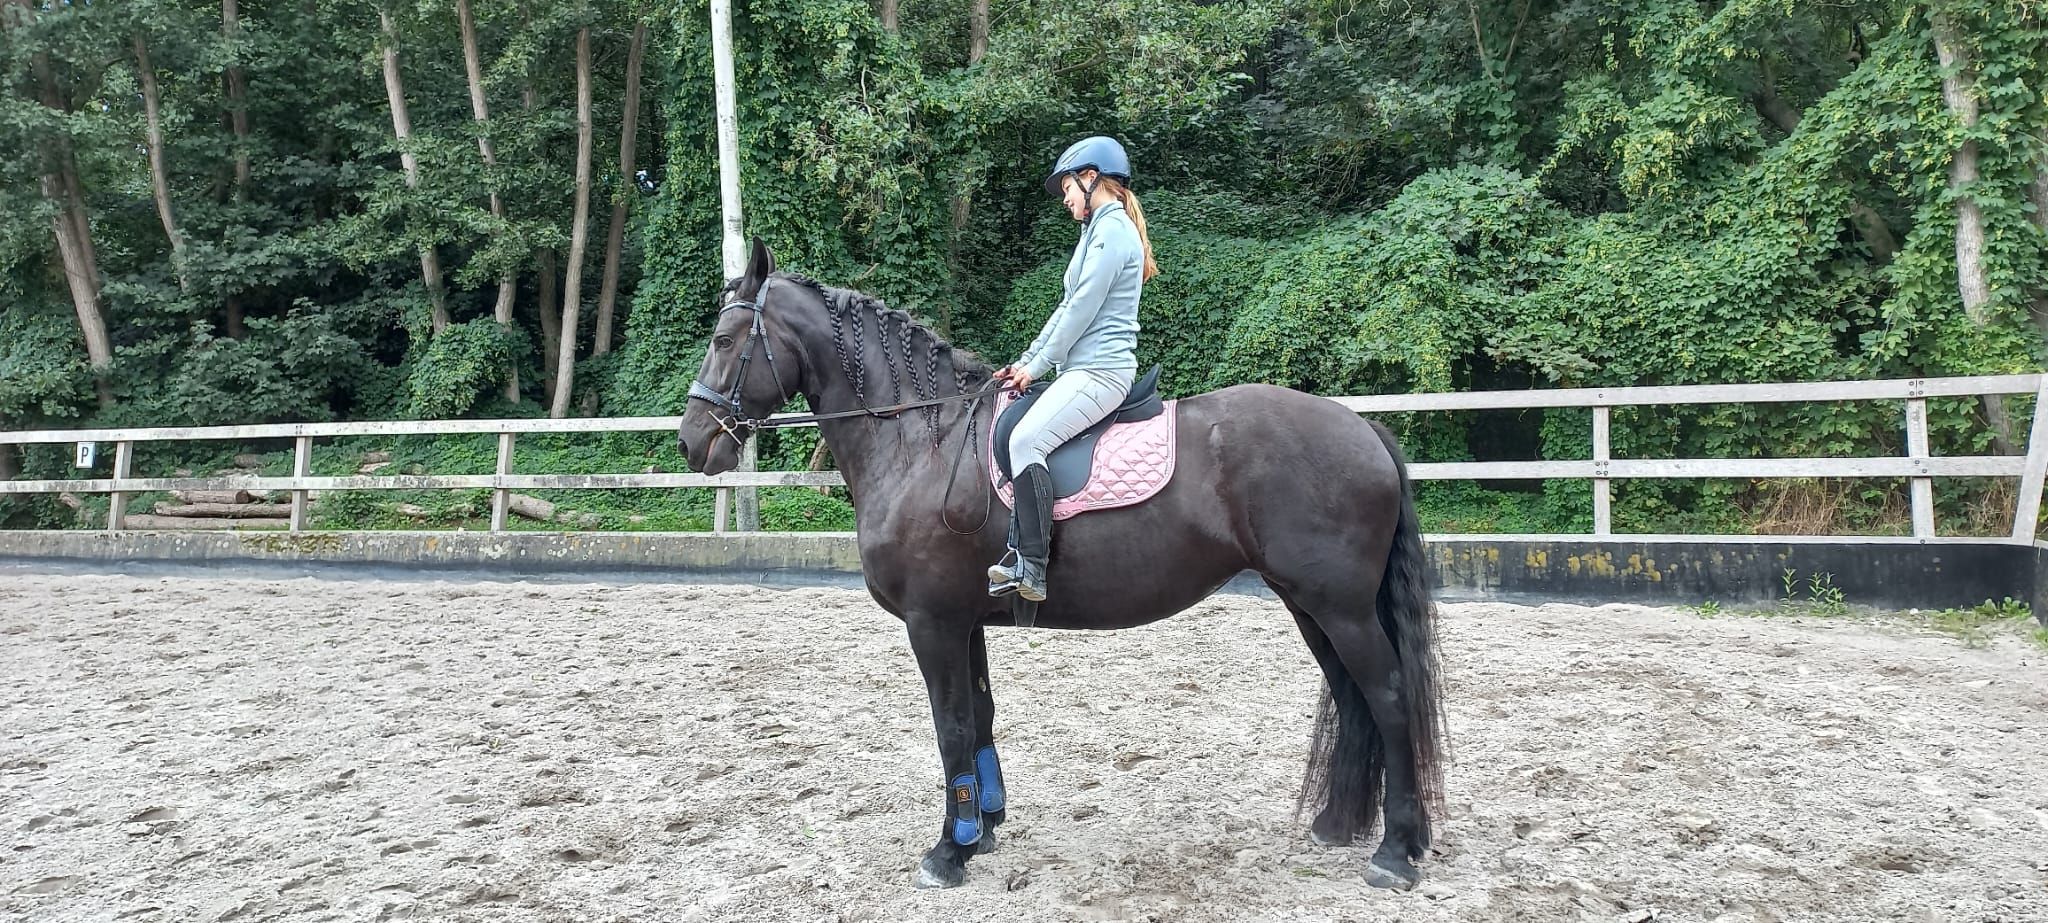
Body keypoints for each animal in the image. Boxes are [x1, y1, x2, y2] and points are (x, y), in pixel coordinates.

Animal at [676, 239, 1447, 891]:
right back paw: (1340, 826)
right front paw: (982, 827)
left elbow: (951, 727)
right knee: (1353, 698)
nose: (691, 442)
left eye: (723, 340)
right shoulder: (965, 621)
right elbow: (980, 717)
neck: (922, 440)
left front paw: (948, 851)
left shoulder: (932, 623)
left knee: (1387, 697)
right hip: (1310, 604)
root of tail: (1364, 428)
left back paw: (1394, 852)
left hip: (1340, 608)